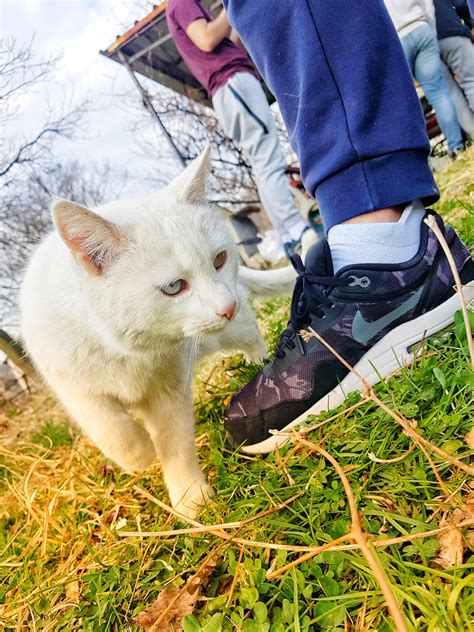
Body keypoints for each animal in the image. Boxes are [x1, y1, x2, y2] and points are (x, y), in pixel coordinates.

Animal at [22, 148, 296, 520]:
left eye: (220, 259)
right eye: (174, 287)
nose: (226, 306)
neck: (128, 350)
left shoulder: (169, 390)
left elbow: (174, 442)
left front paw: (191, 499)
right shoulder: (74, 387)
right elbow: (111, 428)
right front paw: (140, 453)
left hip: (230, 329)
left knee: (251, 331)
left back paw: (260, 362)